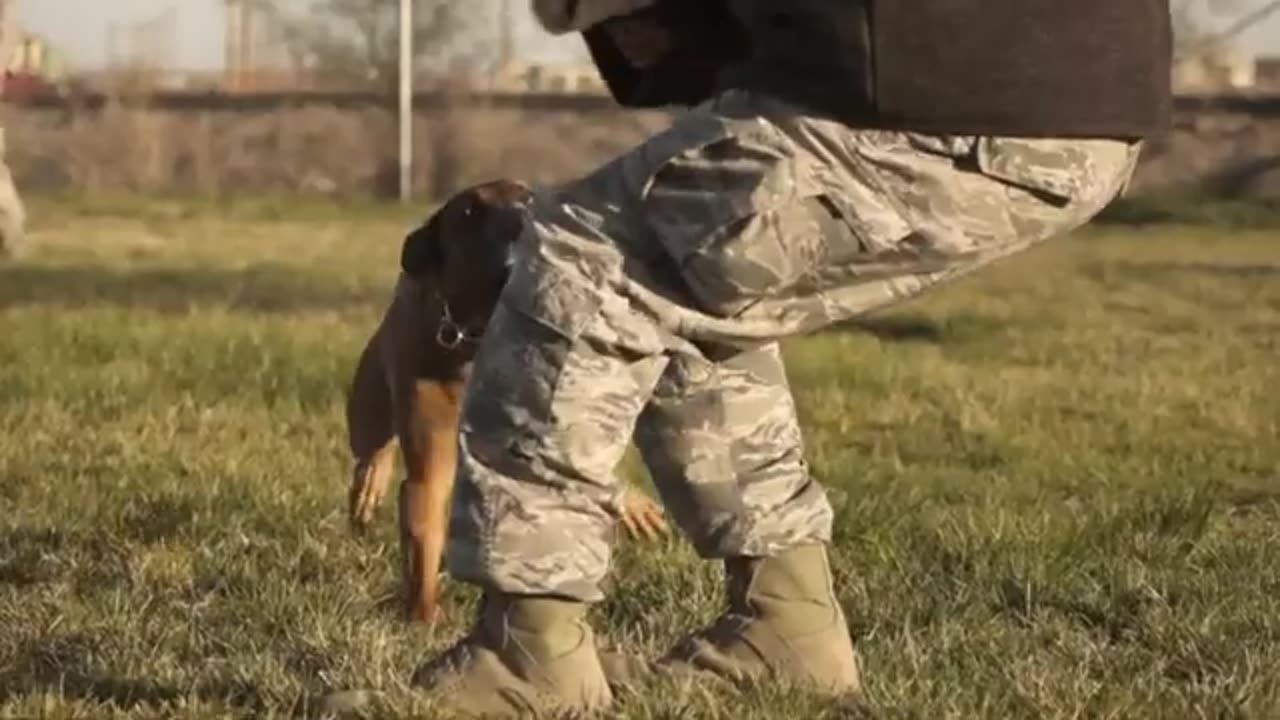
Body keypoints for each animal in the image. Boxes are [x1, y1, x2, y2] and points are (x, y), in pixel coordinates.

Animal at [345, 179, 675, 622]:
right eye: (469, 212)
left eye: (528, 197)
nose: (522, 215)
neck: (479, 335)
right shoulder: (429, 454)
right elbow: (424, 533)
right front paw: (422, 619)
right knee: (373, 449)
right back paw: (369, 485)